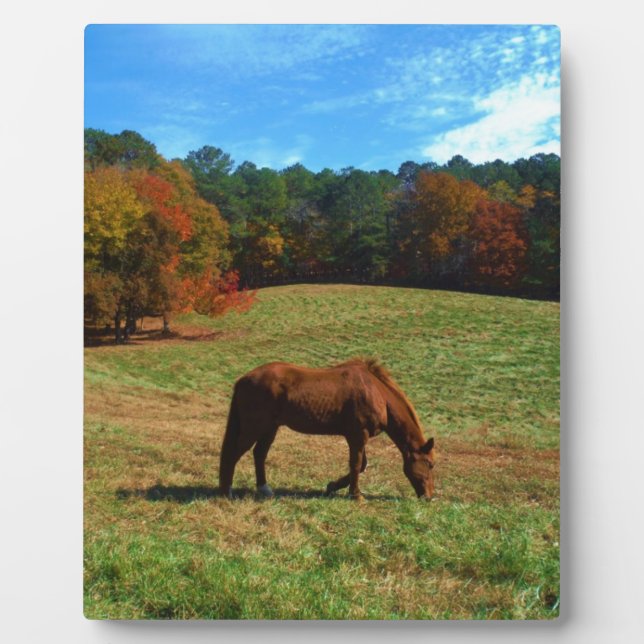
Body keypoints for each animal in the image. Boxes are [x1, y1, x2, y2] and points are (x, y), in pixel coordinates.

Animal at [218, 358, 436, 501]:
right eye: (430, 464)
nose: (429, 497)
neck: (376, 392)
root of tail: (244, 379)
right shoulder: (358, 435)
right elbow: (357, 464)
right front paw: (355, 495)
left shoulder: (358, 437)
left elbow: (362, 465)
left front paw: (332, 487)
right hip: (254, 428)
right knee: (233, 454)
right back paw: (226, 491)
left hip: (270, 428)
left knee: (259, 454)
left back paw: (264, 489)